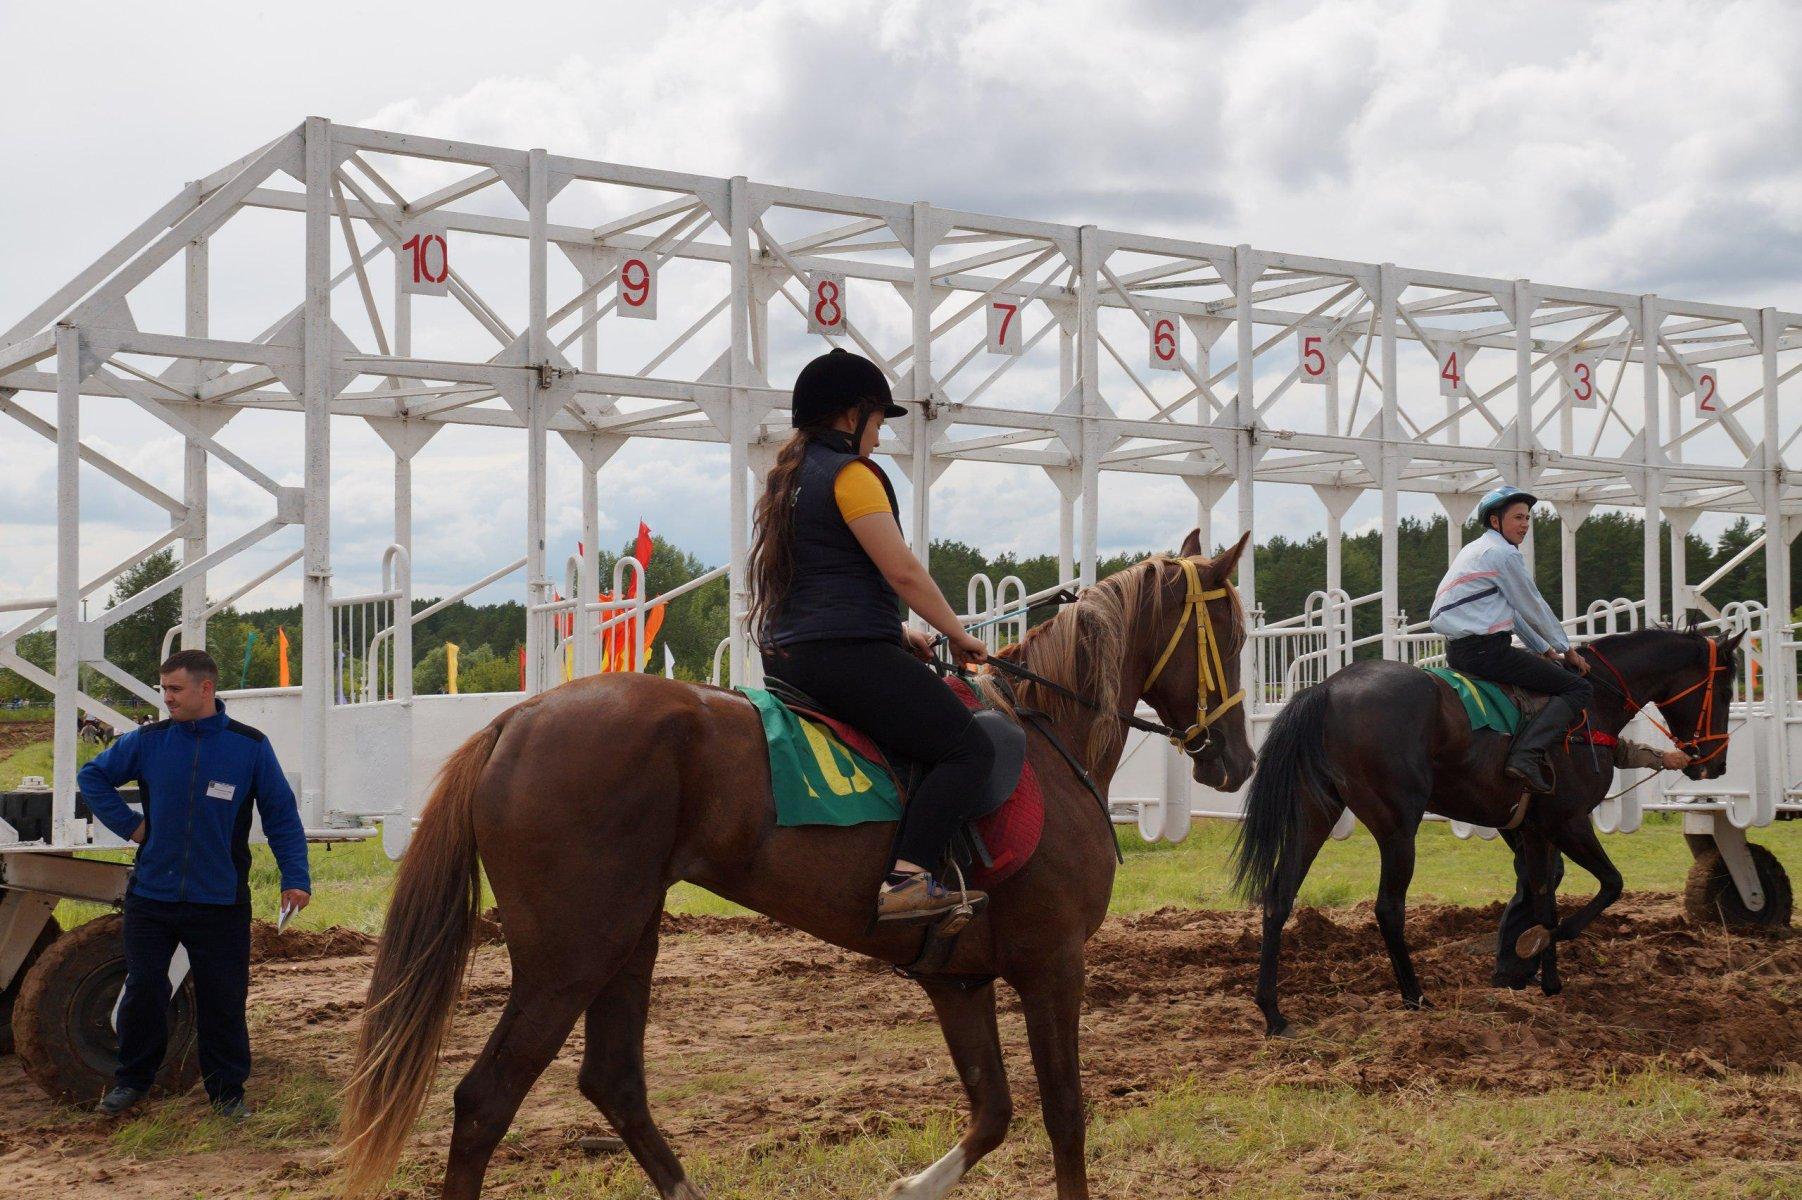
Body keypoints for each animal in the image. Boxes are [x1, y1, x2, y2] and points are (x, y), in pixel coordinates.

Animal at [344, 529, 1254, 1196]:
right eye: (1235, 633)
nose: (1238, 762)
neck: (1050, 734)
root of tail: (514, 722)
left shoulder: (958, 977)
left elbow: (992, 1110)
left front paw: (909, 1186)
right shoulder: (1052, 963)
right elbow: (1064, 1115)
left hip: (628, 938)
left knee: (614, 1082)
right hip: (569, 955)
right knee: (485, 1100)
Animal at [1232, 619, 1737, 1030]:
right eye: (1727, 687)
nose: (1715, 762)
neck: (1590, 707)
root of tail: (1328, 689)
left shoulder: (1533, 829)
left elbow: (1543, 897)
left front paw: (1545, 978)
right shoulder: (1569, 821)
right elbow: (1608, 886)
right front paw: (1537, 950)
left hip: (1314, 813)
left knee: (1279, 896)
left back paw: (1273, 1012)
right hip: (1397, 825)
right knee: (1389, 908)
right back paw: (1415, 996)